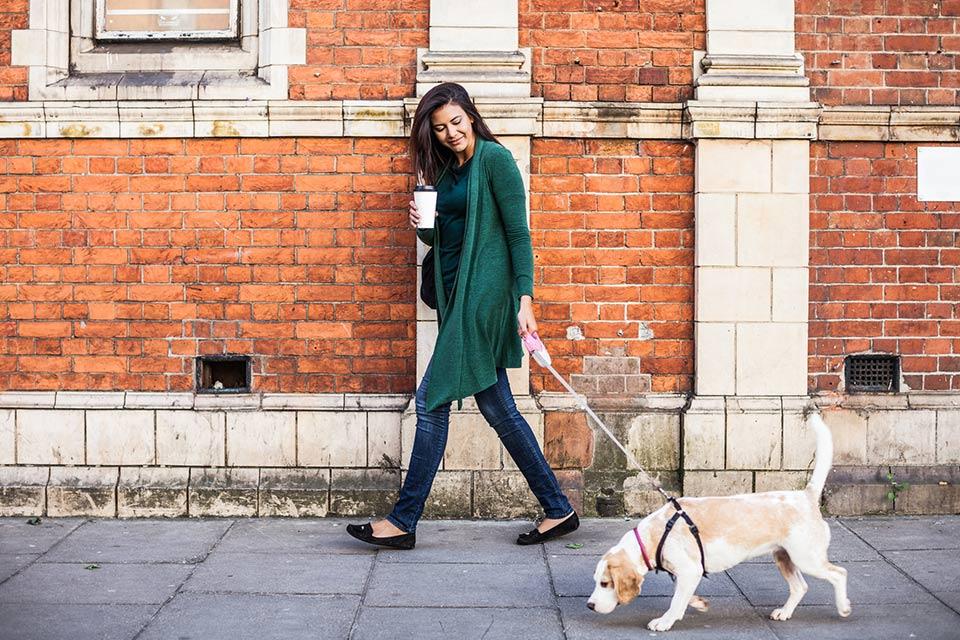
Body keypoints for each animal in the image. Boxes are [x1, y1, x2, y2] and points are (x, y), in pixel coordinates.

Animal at [584, 416, 848, 632]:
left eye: (605, 583)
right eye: (596, 581)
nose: (590, 605)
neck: (655, 534)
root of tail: (806, 496)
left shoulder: (690, 570)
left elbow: (675, 601)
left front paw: (665, 621)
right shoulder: (686, 574)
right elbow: (683, 595)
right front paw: (697, 603)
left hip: (807, 558)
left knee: (839, 574)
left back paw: (844, 606)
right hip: (785, 557)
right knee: (800, 587)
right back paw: (784, 612)